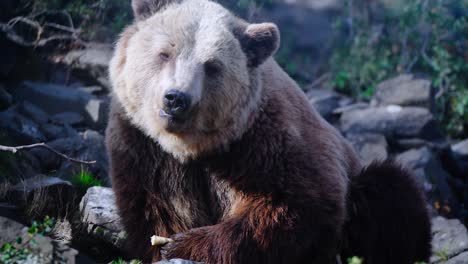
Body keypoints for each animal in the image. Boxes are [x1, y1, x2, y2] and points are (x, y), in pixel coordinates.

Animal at [106, 0, 432, 264]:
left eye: (212, 66)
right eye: (165, 53)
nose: (176, 98)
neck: (194, 147)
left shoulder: (264, 143)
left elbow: (295, 205)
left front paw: (181, 244)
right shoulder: (144, 146)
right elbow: (156, 206)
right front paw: (164, 241)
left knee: (389, 190)